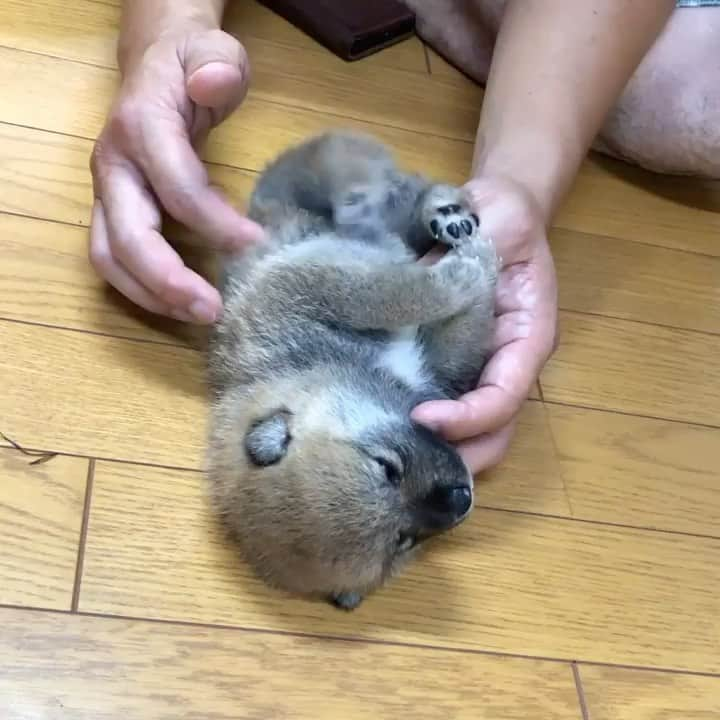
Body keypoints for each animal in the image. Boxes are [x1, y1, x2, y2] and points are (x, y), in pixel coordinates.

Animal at [208, 132, 498, 612]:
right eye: (405, 540)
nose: (463, 498)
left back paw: (443, 213)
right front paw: (475, 270)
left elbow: (398, 292)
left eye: (386, 467)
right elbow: (436, 310)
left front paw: (469, 267)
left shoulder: (314, 283)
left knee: (396, 189)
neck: (317, 363)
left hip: (328, 177)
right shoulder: (437, 370)